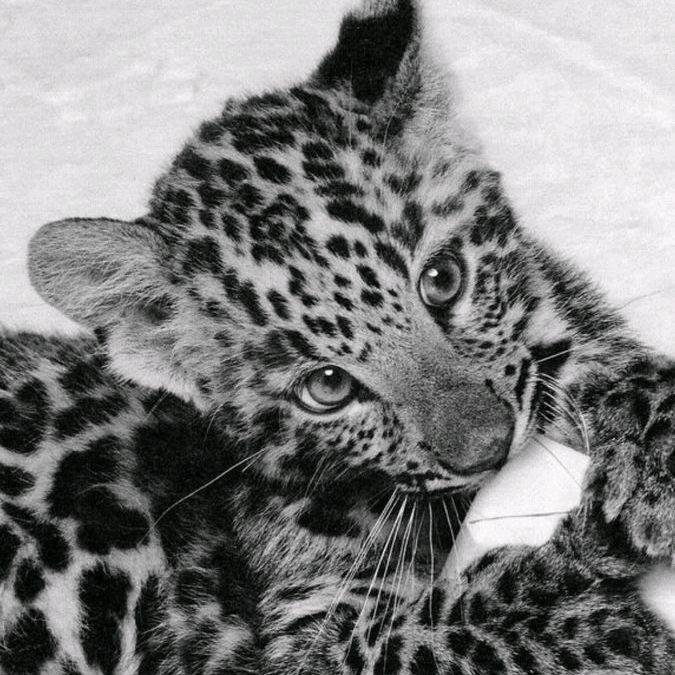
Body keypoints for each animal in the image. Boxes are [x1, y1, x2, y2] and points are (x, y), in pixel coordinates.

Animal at [0, 0, 673, 673]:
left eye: (443, 280)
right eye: (326, 386)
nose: (491, 449)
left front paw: (648, 448)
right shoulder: (293, 640)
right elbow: (431, 630)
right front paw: (607, 601)